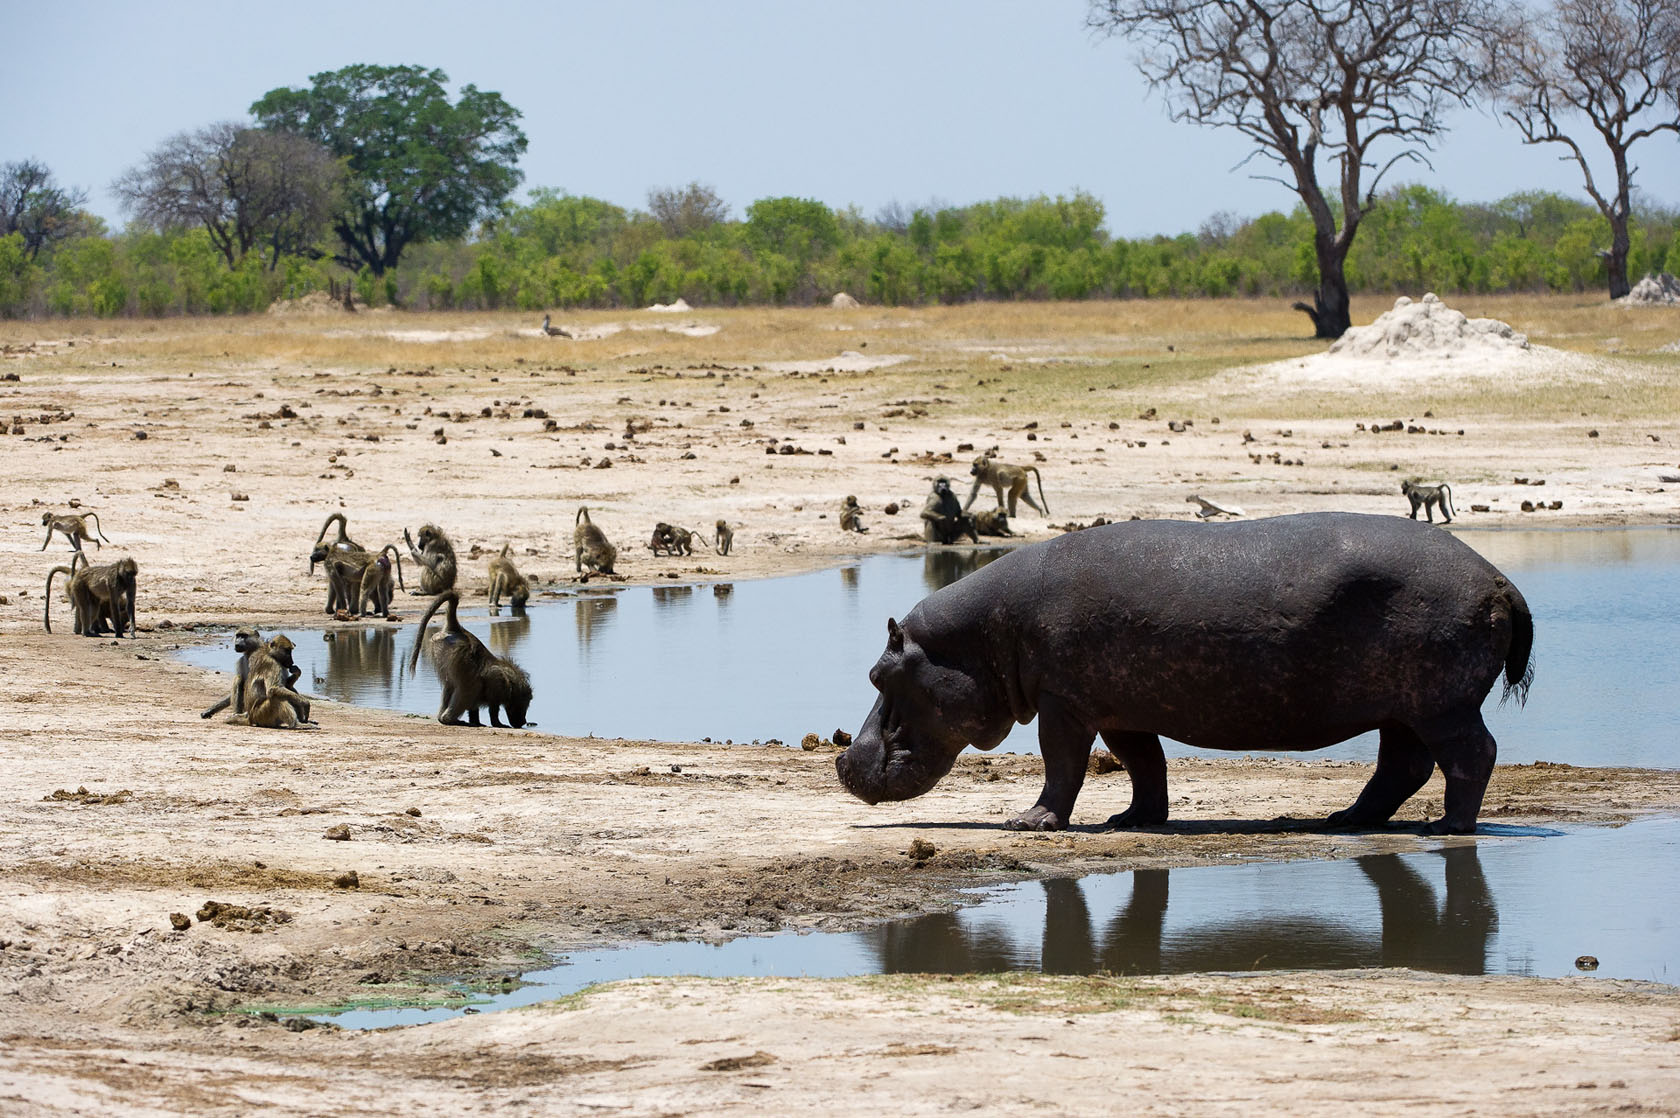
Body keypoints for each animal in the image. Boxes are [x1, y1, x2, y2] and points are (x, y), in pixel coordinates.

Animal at [408, 590, 533, 727]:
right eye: (524, 704)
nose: (523, 722)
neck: (510, 681)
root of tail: (456, 630)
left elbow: (474, 707)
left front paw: (476, 721)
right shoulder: (497, 684)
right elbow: (493, 709)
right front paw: (498, 724)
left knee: (450, 685)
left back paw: (444, 719)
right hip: (460, 655)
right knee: (470, 687)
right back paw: (450, 719)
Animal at [836, 512, 1533, 835]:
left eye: (877, 676)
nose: (843, 762)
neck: (983, 637)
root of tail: (1501, 579)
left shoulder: (1065, 703)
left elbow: (1062, 763)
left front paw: (1029, 824)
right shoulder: (1119, 708)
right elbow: (1144, 764)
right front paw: (1132, 821)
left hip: (1440, 705)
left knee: (1471, 754)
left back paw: (1448, 827)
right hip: (1405, 707)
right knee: (1402, 766)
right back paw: (1345, 820)